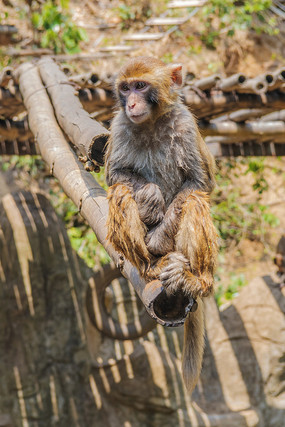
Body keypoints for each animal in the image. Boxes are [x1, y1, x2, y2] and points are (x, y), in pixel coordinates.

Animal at [104, 56, 217, 394]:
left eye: (141, 86)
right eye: (125, 88)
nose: (132, 103)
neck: (151, 123)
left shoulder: (186, 125)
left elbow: (200, 182)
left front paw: (159, 235)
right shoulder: (119, 125)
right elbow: (116, 175)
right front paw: (151, 195)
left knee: (194, 200)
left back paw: (197, 280)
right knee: (122, 191)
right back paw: (149, 265)